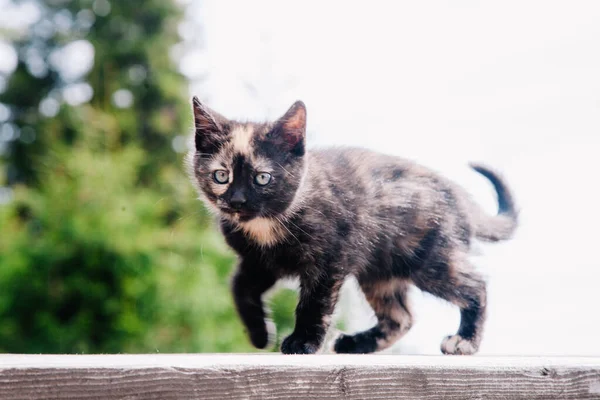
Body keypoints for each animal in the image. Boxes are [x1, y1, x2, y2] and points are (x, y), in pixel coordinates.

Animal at [186, 98, 516, 354]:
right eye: (221, 176)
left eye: (262, 178)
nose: (238, 201)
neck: (266, 226)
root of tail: (458, 193)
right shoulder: (260, 262)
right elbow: (239, 286)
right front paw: (259, 333)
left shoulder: (329, 260)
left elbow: (314, 303)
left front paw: (303, 342)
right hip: (380, 272)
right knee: (400, 317)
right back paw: (356, 344)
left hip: (429, 260)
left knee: (475, 286)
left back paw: (465, 341)